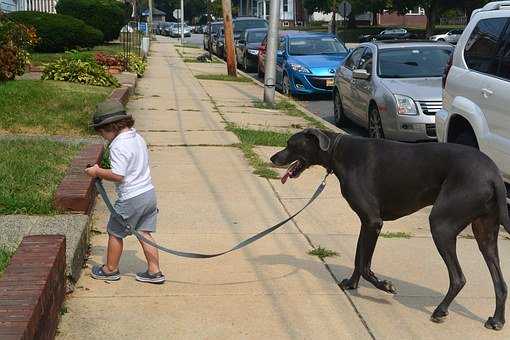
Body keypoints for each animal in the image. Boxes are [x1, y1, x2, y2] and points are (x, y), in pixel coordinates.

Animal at [270, 127, 510, 330]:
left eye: (292, 144)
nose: (273, 158)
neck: (338, 150)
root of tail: (494, 176)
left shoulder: (373, 222)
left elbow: (365, 266)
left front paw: (385, 286)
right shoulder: (366, 222)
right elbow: (358, 259)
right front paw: (351, 284)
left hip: (441, 225)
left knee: (459, 277)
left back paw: (440, 310)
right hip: (485, 234)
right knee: (500, 283)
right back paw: (497, 320)